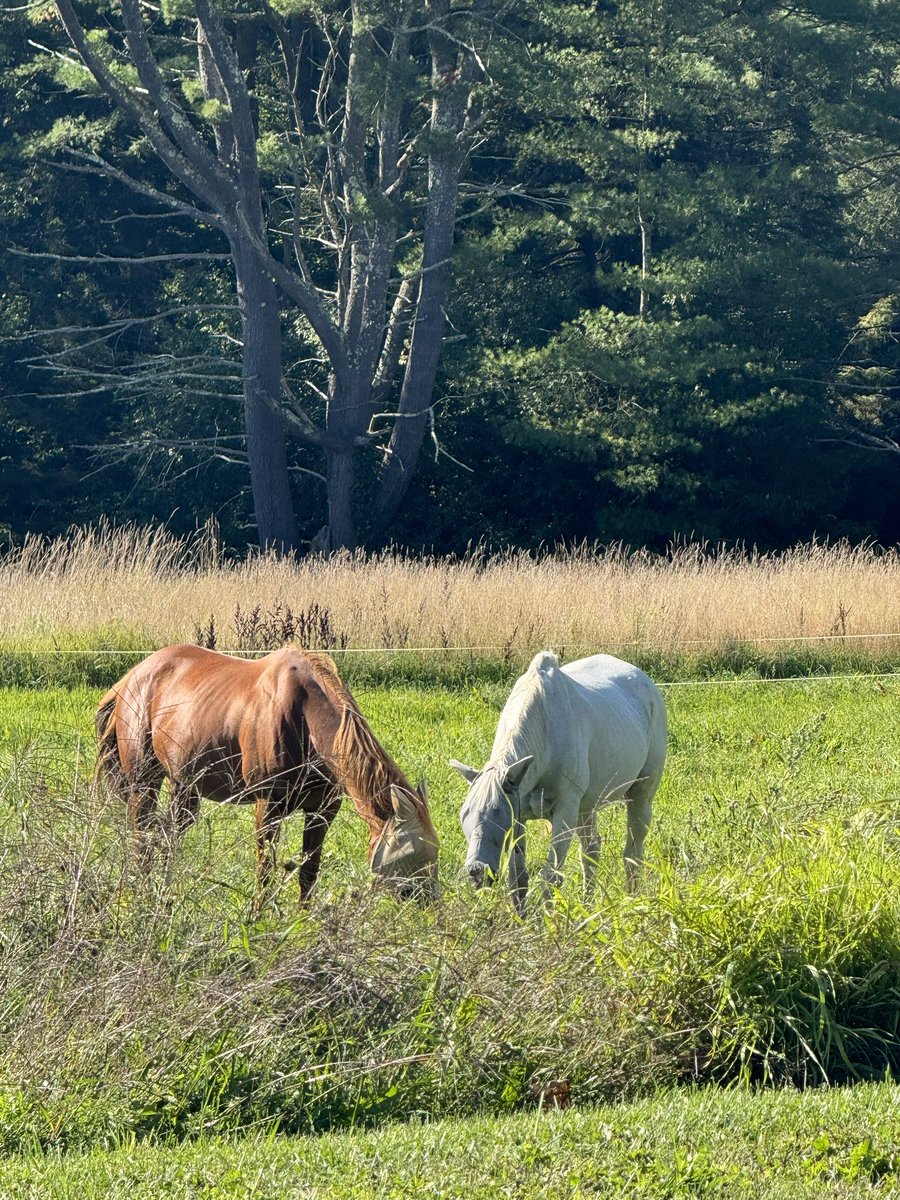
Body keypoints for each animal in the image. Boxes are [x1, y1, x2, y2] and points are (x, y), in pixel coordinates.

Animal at [95, 644, 439, 905]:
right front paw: (259, 919)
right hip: (144, 783)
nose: (429, 904)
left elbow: (309, 869)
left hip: (184, 787)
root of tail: (131, 678)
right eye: (411, 852)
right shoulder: (268, 805)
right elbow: (265, 870)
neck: (304, 718)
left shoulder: (322, 810)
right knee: (142, 837)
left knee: (169, 836)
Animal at [451, 651, 666, 914]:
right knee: (591, 852)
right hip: (586, 807)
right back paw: (587, 907)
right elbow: (518, 879)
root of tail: (645, 681)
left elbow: (550, 877)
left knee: (633, 854)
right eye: (464, 813)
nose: (476, 871)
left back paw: (632, 901)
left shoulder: (564, 812)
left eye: (498, 814)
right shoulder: (521, 815)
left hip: (640, 796)